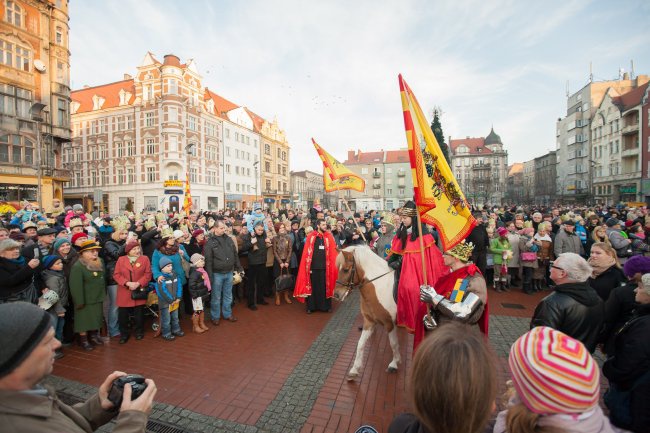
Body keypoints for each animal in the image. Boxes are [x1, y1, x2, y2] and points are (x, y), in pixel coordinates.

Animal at [334, 245, 400, 380]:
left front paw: (394, 363)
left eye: (346, 270)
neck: (379, 286)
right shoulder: (369, 321)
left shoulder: (390, 324)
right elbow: (360, 344)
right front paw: (355, 369)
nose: (336, 295)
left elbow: (394, 343)